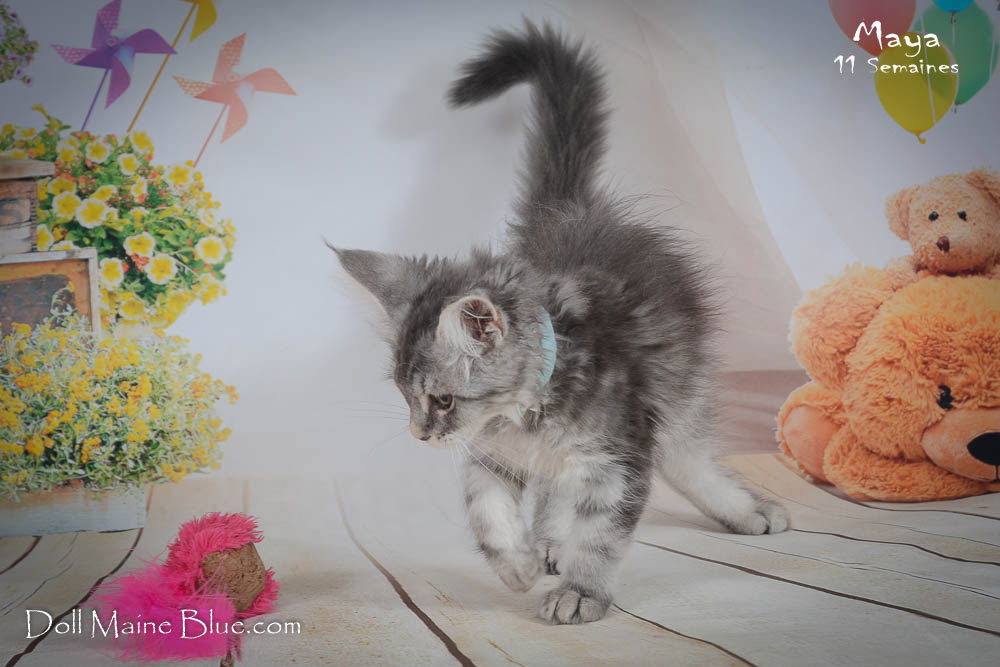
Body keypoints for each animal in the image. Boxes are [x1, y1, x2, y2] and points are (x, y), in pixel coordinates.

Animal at [330, 20, 789, 624]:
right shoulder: (489, 458)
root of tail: (571, 210)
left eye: (443, 400)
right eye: (406, 396)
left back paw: (745, 510)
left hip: (677, 392)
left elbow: (600, 536)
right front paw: (518, 565)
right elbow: (487, 513)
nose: (418, 433)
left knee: (688, 460)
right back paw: (547, 540)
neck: (526, 418)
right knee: (557, 491)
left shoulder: (620, 455)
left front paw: (581, 592)